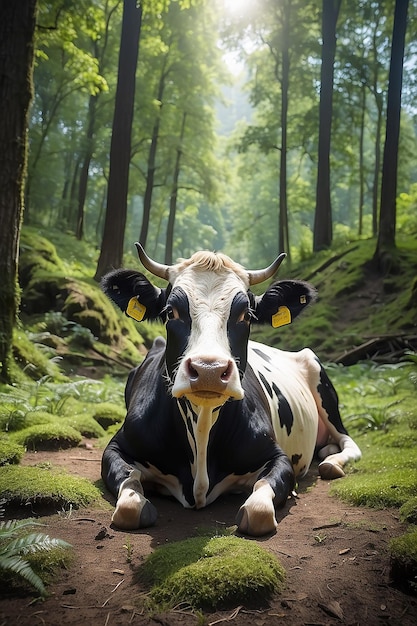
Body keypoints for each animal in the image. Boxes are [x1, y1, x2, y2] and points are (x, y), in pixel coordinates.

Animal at [101, 243, 360, 532]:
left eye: (246, 315)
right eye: (170, 312)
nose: (209, 370)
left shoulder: (276, 455)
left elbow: (258, 511)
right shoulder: (117, 447)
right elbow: (130, 503)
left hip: (320, 380)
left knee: (348, 442)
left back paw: (331, 461)